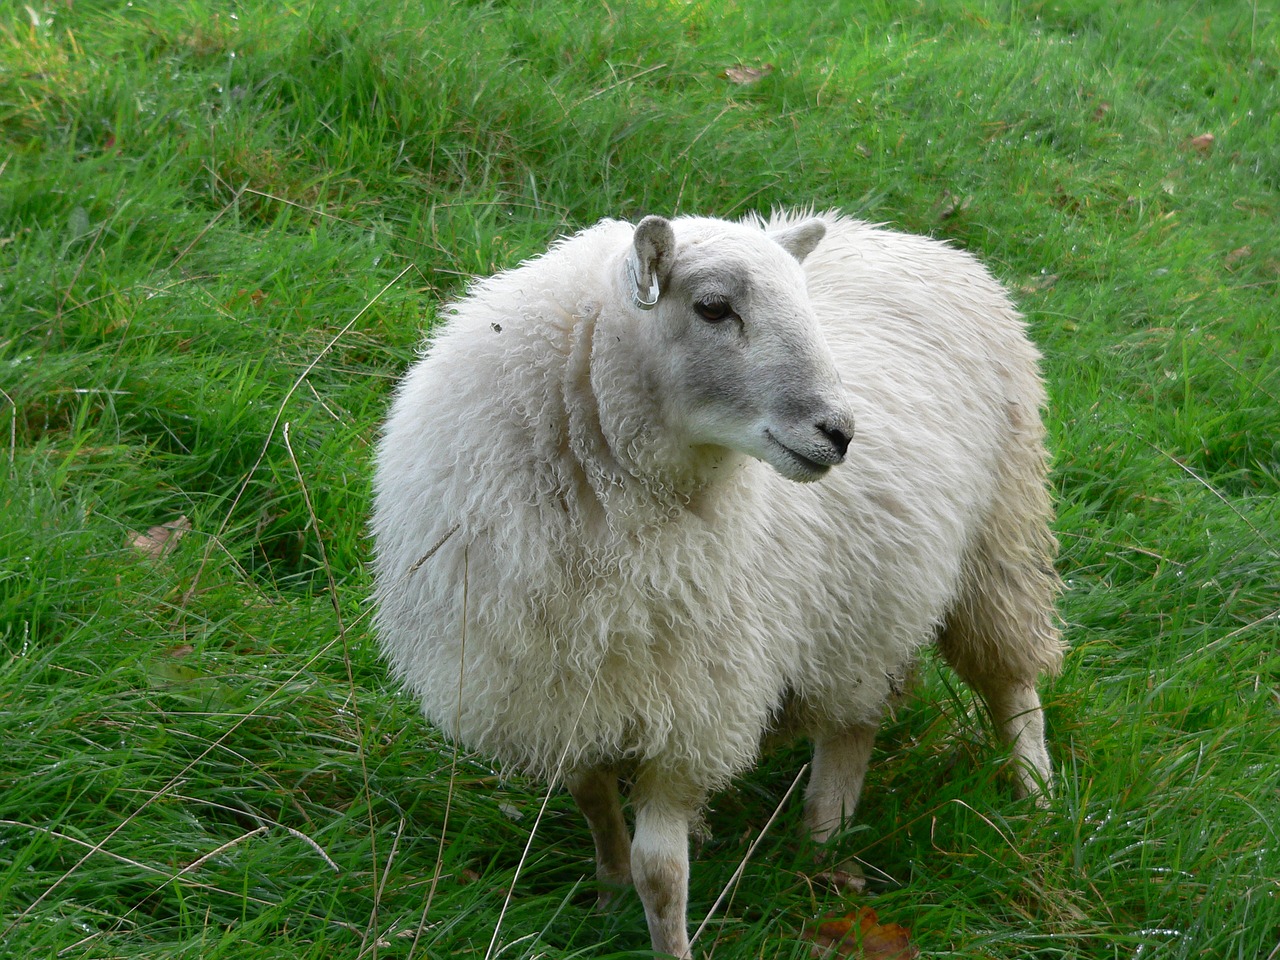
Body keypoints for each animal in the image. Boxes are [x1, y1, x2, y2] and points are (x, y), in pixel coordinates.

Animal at [368, 207, 1059, 957]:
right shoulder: (558, 685)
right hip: (865, 604)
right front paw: (609, 894)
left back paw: (1034, 798)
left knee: (1010, 682)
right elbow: (594, 803)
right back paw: (823, 837)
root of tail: (909, 238)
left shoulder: (695, 702)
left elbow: (661, 870)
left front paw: (667, 939)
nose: (841, 433)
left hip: (999, 539)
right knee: (855, 717)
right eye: (712, 307)